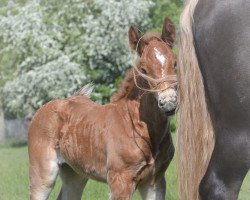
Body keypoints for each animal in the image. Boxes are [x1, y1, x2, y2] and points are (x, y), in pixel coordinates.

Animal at [28, 17, 177, 200]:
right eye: (143, 69)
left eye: (175, 63)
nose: (168, 102)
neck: (139, 128)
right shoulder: (120, 181)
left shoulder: (155, 182)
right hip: (43, 175)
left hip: (75, 173)